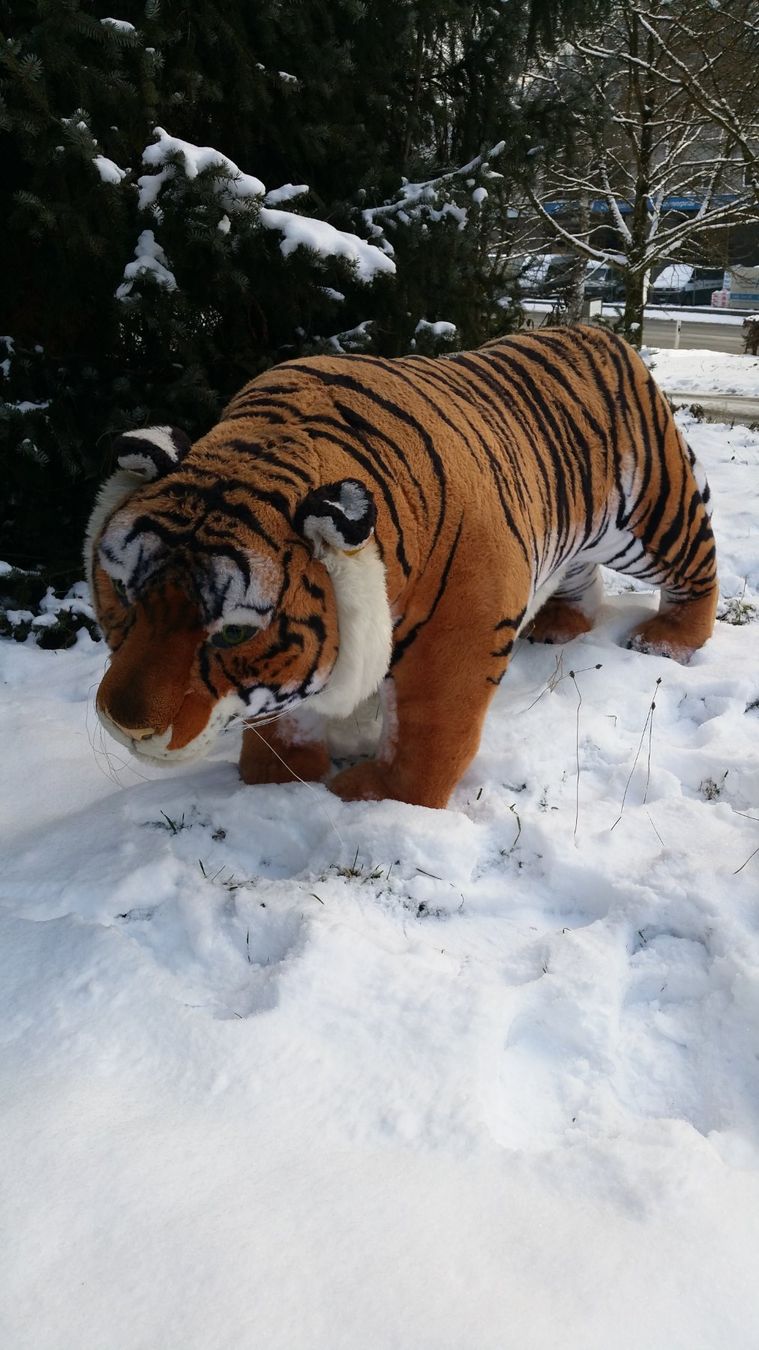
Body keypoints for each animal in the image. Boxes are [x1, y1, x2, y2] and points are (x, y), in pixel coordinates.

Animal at [86, 325, 717, 809]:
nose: (125, 724)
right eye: (123, 592)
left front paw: (374, 796)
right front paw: (276, 778)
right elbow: (285, 717)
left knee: (696, 569)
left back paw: (667, 641)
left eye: (234, 634)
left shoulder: (459, 632)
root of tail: (602, 333)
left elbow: (429, 735)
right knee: (581, 575)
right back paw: (562, 624)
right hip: (573, 535)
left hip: (654, 518)